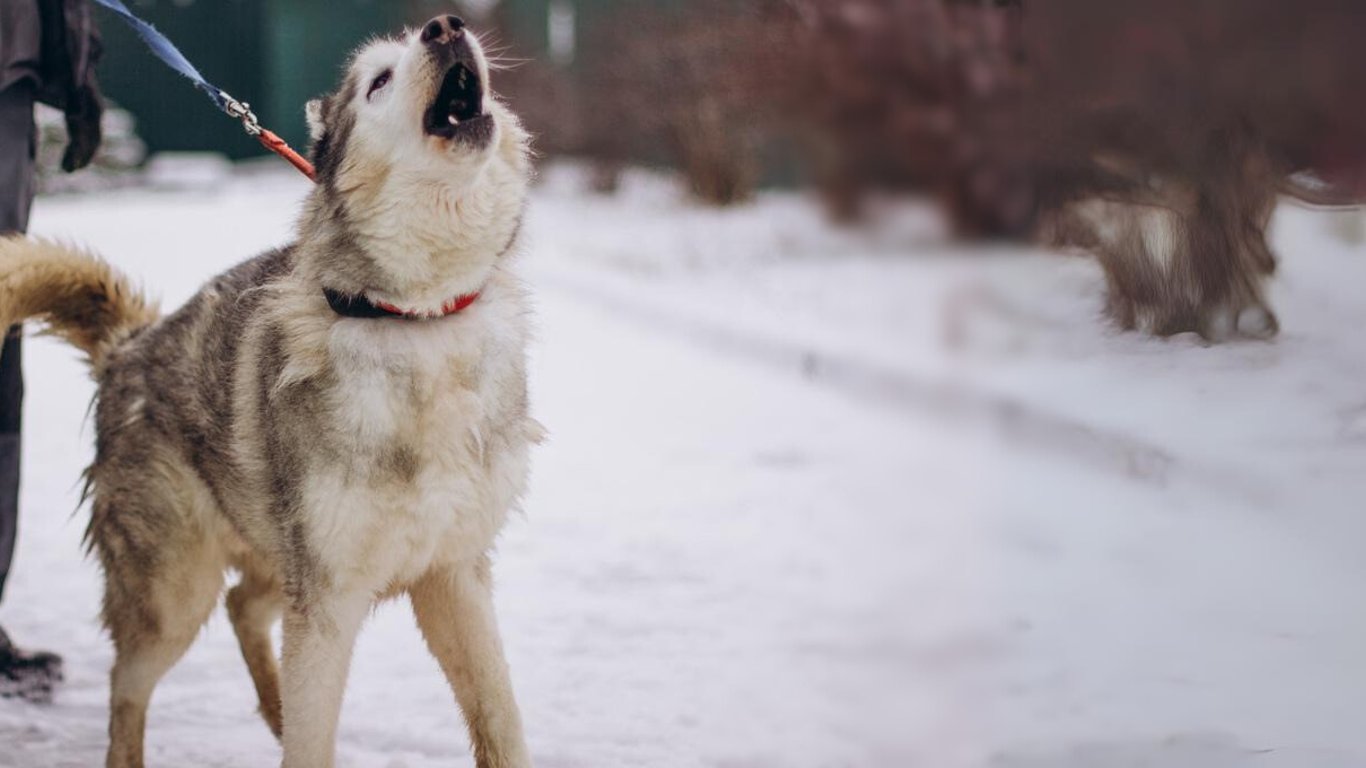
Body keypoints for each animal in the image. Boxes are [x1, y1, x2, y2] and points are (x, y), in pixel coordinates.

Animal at [0, 16, 538, 765]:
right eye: (379, 80)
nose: (445, 25)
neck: (417, 319)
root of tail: (129, 345)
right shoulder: (328, 599)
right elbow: (314, 740)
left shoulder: (453, 574)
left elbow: (500, 717)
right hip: (176, 593)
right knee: (127, 687)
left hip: (265, 555)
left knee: (242, 608)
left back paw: (274, 707)